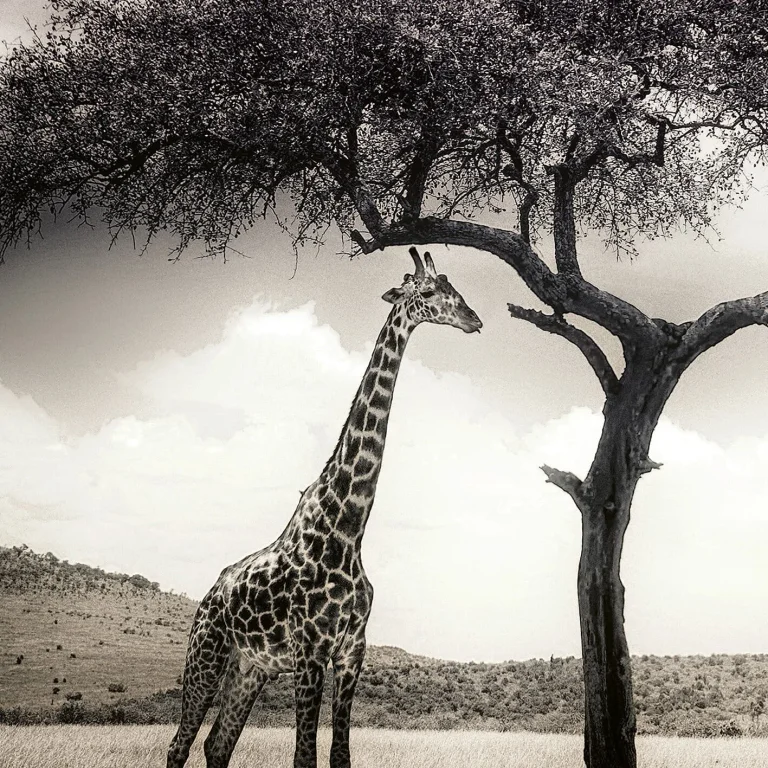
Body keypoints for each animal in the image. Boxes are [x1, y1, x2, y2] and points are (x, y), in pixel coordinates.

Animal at [167, 247, 482, 768]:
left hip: (251, 667)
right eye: (429, 290)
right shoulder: (310, 651)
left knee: (217, 744)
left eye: (455, 287)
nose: (474, 318)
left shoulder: (352, 650)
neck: (349, 528)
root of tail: (209, 595)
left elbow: (339, 755)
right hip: (206, 655)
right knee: (180, 744)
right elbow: (305, 757)